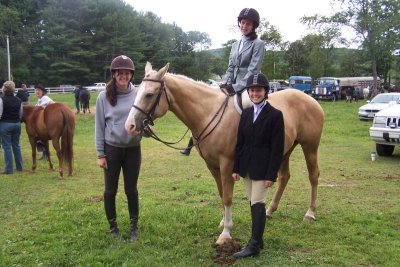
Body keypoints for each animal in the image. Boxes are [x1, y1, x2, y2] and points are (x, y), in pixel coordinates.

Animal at [125, 62, 324, 245]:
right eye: (138, 91)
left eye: (149, 94)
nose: (130, 126)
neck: (209, 113)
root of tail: (310, 99)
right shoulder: (212, 165)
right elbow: (222, 194)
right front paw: (224, 222)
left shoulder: (227, 164)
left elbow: (228, 197)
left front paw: (226, 233)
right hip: (284, 150)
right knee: (284, 177)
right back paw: (269, 211)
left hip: (310, 146)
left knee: (313, 176)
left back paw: (310, 213)